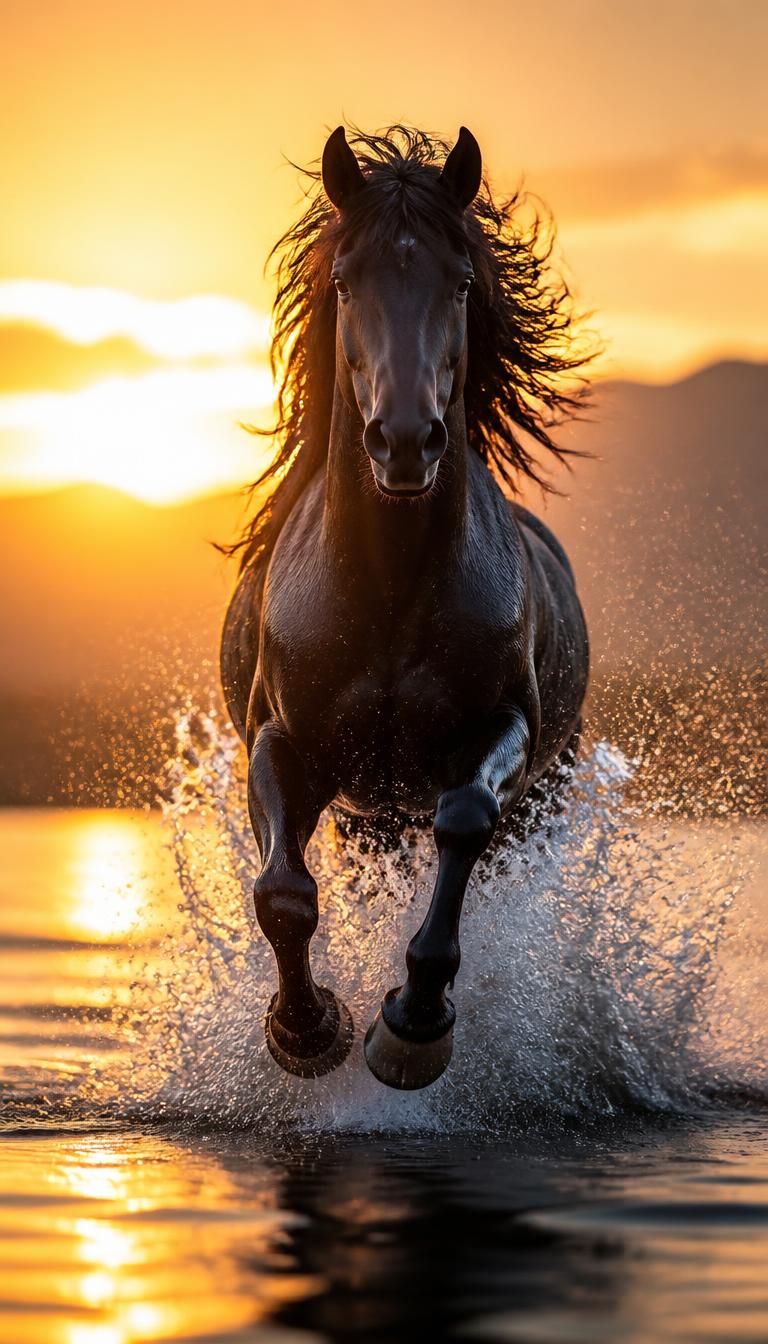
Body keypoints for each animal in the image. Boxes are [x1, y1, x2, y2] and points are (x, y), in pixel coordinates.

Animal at [220, 125, 590, 1090]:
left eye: (459, 284)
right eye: (347, 282)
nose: (405, 441)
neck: (387, 592)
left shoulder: (505, 734)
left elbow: (463, 821)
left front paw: (413, 1026)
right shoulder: (284, 740)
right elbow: (283, 893)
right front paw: (307, 1029)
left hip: (534, 800)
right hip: (372, 820)